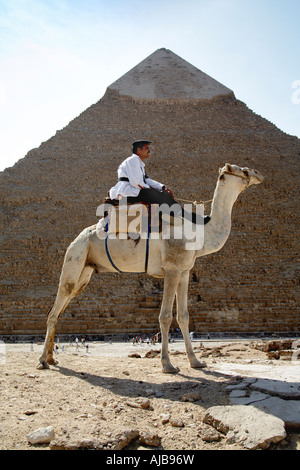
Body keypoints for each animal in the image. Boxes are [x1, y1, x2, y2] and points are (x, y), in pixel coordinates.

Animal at [37, 163, 262, 372]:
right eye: (242, 171)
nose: (258, 173)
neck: (199, 232)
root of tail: (77, 238)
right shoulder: (172, 269)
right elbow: (165, 317)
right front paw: (168, 365)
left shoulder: (184, 271)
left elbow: (184, 316)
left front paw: (196, 362)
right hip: (75, 258)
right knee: (54, 310)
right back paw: (42, 361)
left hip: (85, 271)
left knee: (61, 308)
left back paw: (51, 358)